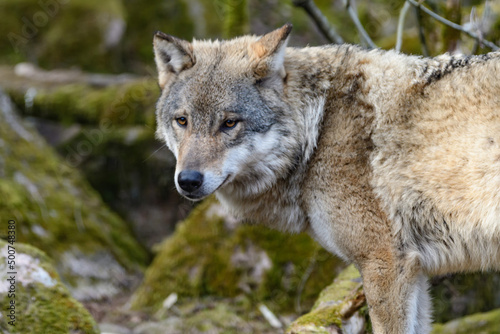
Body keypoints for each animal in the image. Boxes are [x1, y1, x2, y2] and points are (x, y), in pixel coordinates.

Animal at [152, 24, 500, 334]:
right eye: (182, 121)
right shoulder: (414, 271)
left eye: (229, 123)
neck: (318, 130)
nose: (188, 180)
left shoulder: (384, 264)